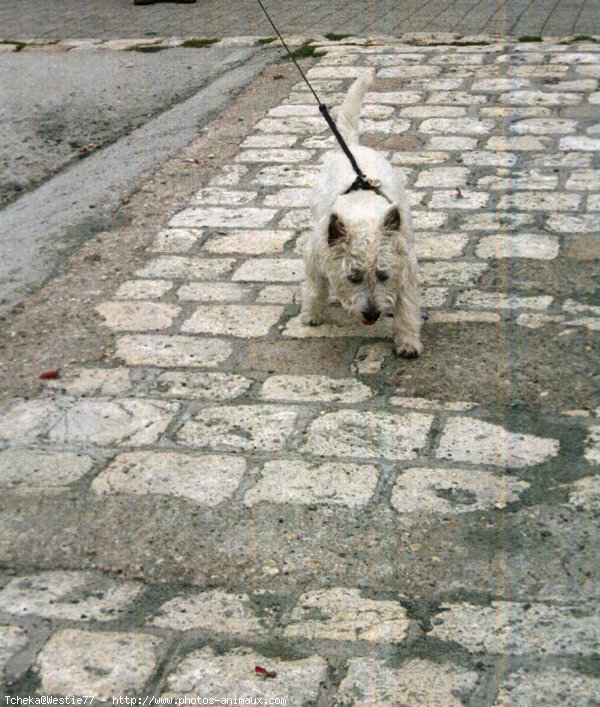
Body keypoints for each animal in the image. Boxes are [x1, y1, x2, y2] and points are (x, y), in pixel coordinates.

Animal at [300, 72, 422, 356]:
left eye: (383, 275)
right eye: (353, 277)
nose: (372, 314)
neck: (363, 211)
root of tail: (351, 148)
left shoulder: (406, 265)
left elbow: (407, 306)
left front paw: (408, 342)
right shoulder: (315, 253)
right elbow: (315, 287)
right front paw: (312, 314)